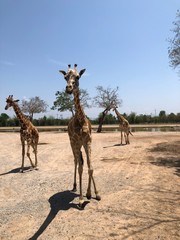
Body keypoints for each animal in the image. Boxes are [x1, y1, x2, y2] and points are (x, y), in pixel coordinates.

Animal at [59, 64, 100, 208]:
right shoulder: (77, 142)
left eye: (77, 77)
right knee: (76, 162)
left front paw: (94, 193)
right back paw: (74, 185)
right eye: (65, 77)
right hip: (72, 144)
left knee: (82, 161)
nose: (69, 88)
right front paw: (82, 199)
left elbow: (90, 167)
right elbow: (81, 168)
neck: (80, 119)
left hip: (81, 145)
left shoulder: (88, 142)